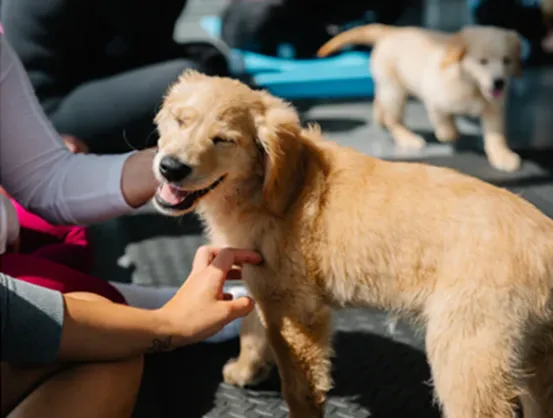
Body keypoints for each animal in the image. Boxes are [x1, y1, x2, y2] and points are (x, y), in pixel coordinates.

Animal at [153, 70, 552, 416]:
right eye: (179, 120)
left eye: (224, 140)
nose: (170, 168)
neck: (263, 190)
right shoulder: (262, 281)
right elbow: (252, 329)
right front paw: (246, 370)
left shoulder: (295, 308)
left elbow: (298, 387)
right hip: (535, 356)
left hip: (467, 354)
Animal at [314, 24, 520, 172]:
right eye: (482, 61)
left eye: (507, 60)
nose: (499, 82)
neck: (471, 85)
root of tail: (392, 32)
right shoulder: (435, 98)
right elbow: (444, 122)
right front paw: (450, 133)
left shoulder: (493, 110)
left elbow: (496, 136)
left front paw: (503, 156)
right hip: (395, 91)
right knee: (393, 119)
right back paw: (408, 137)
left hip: (389, 88)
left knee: (381, 104)